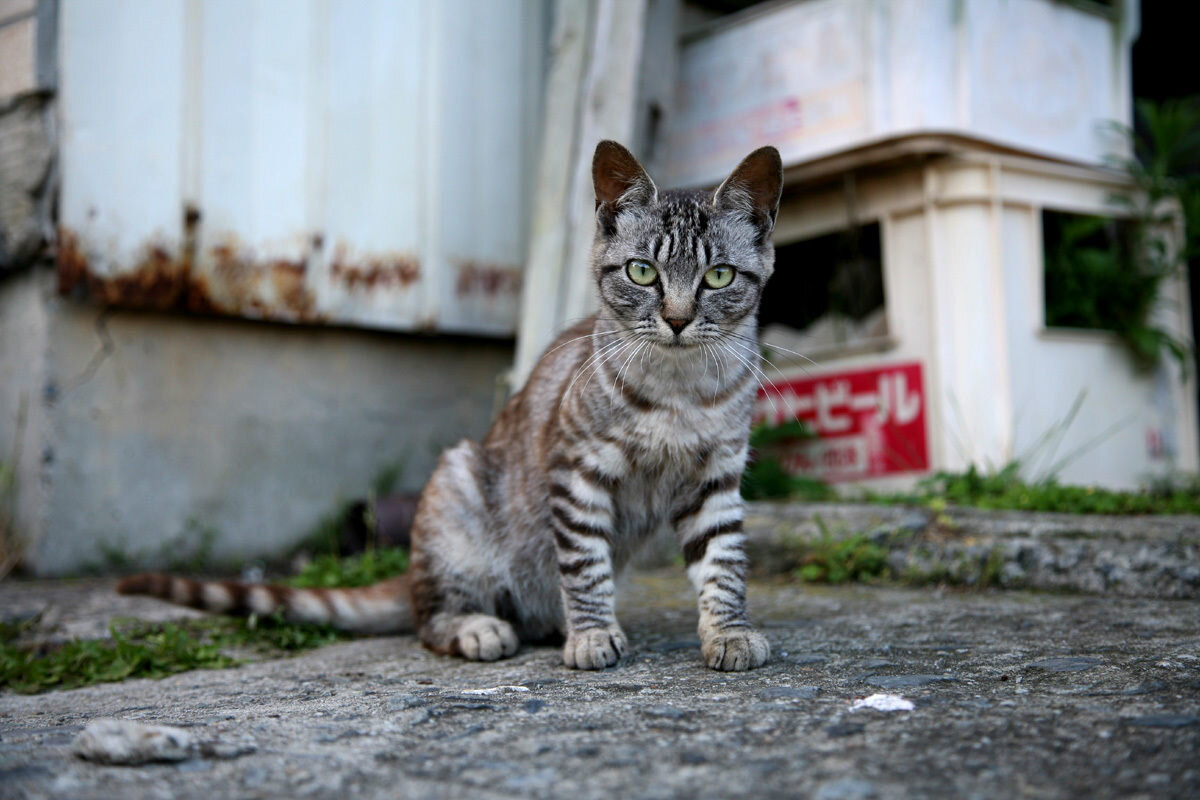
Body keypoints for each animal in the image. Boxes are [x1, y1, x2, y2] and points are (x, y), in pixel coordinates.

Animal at [117, 140, 782, 671]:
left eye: (718, 277)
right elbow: (585, 564)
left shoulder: (716, 478)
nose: (677, 319)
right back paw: (481, 627)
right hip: (457, 492)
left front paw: (729, 632)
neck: (678, 391)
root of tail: (412, 567)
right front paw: (593, 635)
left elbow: (724, 562)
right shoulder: (576, 468)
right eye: (642, 272)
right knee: (429, 618)